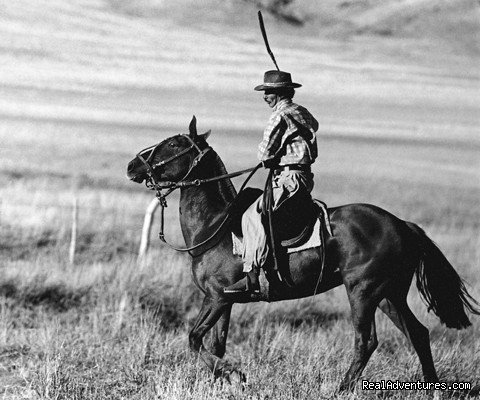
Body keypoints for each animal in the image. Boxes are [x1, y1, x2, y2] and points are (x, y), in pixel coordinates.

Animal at [125, 117, 478, 392]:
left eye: (173, 144)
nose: (132, 165)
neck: (217, 226)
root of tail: (402, 224)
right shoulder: (223, 300)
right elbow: (215, 344)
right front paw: (222, 380)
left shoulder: (216, 297)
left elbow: (195, 339)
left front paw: (234, 374)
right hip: (390, 295)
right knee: (418, 333)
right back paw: (432, 387)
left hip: (363, 292)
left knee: (366, 341)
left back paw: (341, 390)